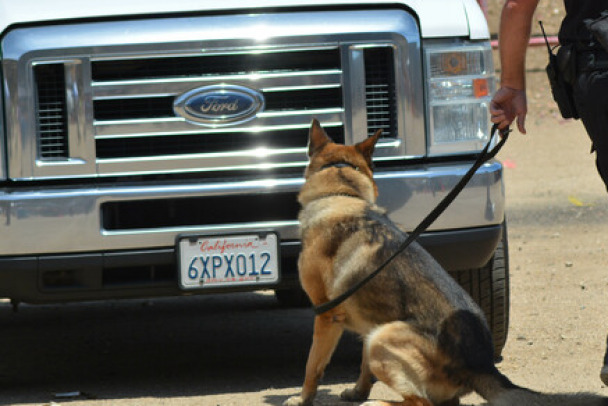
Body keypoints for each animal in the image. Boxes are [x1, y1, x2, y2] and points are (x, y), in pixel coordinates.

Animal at [284, 119, 608, 406]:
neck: (341, 194)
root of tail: (481, 365)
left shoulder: (326, 315)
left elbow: (312, 366)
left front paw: (302, 399)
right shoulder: (367, 321)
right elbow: (363, 367)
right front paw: (357, 391)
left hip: (383, 336)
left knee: (421, 402)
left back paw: (378, 404)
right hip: (380, 332)